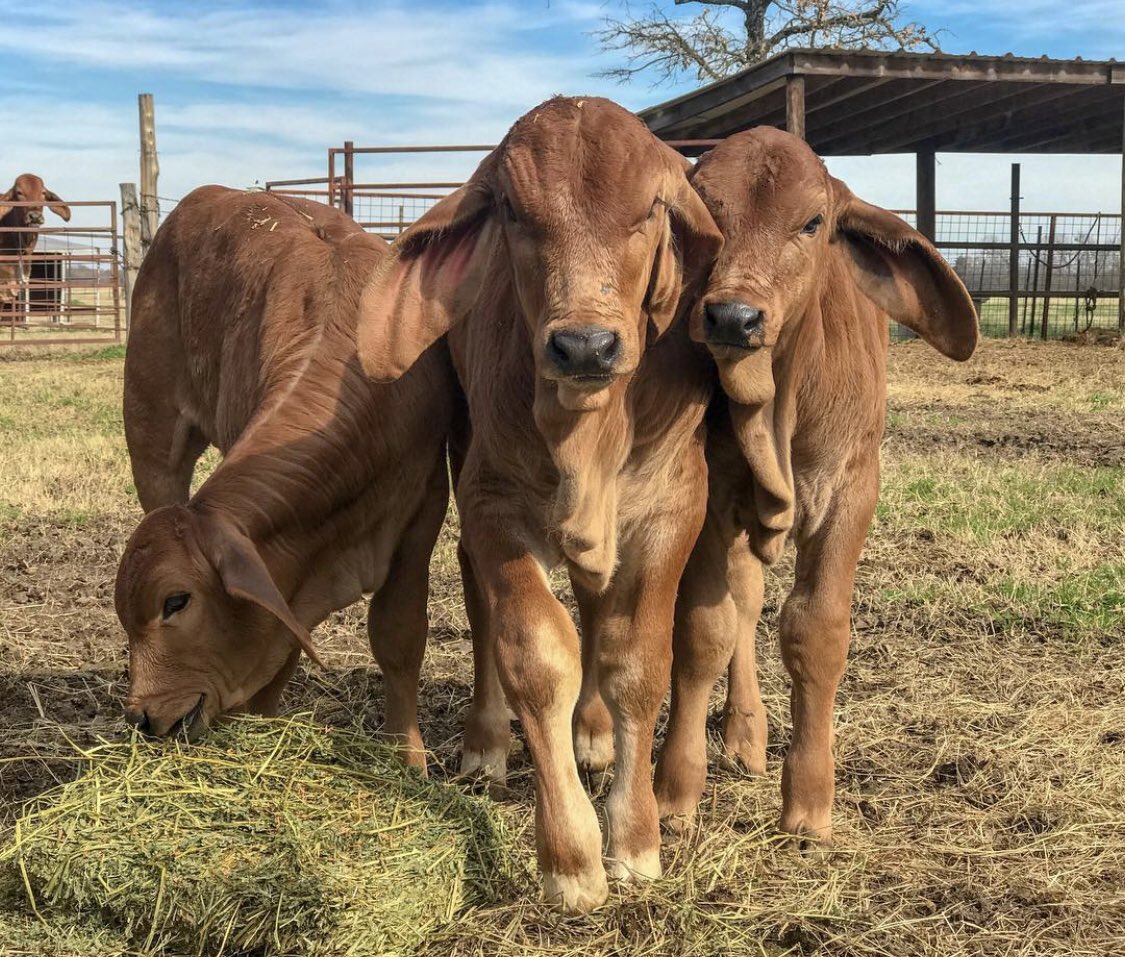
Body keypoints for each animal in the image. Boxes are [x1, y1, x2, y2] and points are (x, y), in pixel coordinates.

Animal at [115, 186, 455, 767]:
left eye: (176, 601)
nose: (141, 717)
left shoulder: (424, 510)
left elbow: (399, 634)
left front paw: (407, 754)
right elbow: (283, 641)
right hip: (150, 431)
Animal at [356, 96, 722, 913]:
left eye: (649, 208)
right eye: (513, 213)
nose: (584, 346)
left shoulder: (673, 508)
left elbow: (635, 661)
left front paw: (636, 837)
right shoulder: (492, 506)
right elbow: (536, 652)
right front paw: (572, 857)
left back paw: (591, 733)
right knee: (484, 611)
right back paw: (488, 743)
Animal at [650, 127, 979, 846]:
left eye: (812, 222)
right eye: (708, 210)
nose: (733, 316)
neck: (778, 410)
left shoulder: (851, 494)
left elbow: (816, 632)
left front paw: (807, 801)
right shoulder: (714, 498)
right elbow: (704, 631)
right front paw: (673, 790)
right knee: (743, 604)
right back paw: (744, 732)